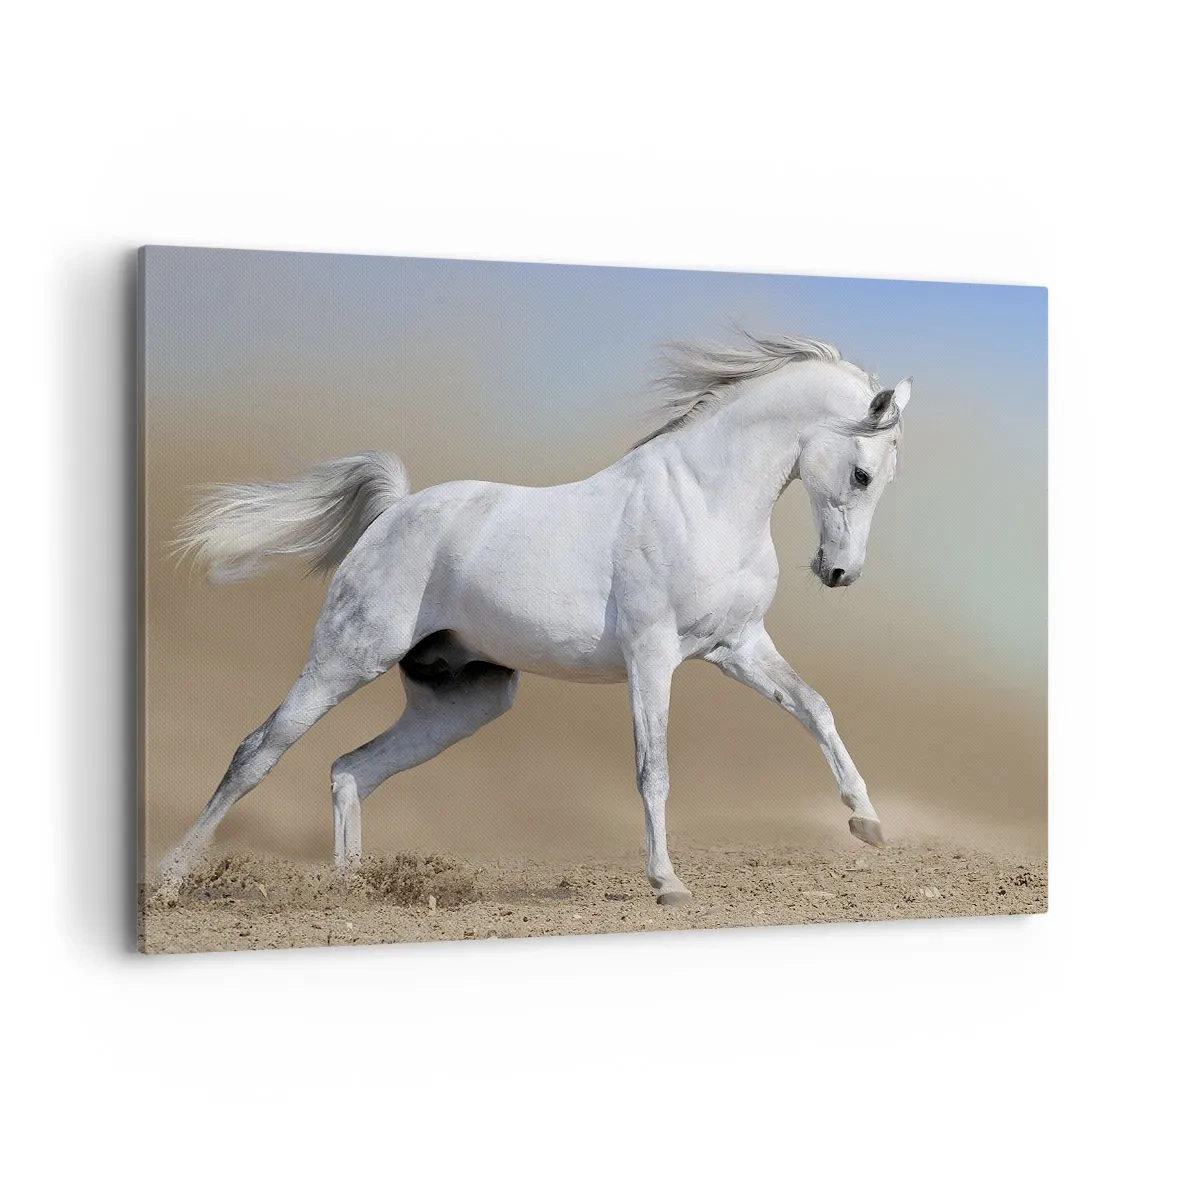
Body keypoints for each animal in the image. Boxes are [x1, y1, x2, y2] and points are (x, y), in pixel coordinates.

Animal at [159, 332, 911, 905]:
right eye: (864, 474)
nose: (840, 573)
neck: (704, 500)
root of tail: (395, 512)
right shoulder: (652, 655)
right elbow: (654, 768)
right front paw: (667, 884)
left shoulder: (738, 646)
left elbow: (815, 707)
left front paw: (868, 825)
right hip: (347, 658)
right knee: (258, 751)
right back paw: (171, 878)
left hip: (465, 700)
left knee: (351, 770)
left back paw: (353, 889)